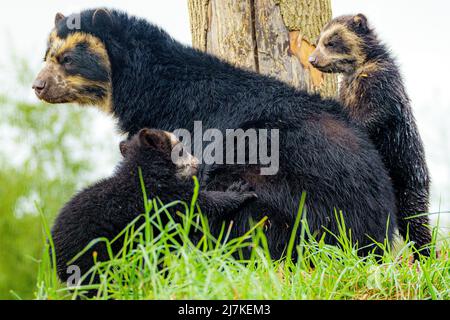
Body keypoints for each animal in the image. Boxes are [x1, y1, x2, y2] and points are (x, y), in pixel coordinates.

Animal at [37, 7, 398, 258]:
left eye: (67, 59)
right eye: (46, 56)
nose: (38, 86)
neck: (151, 89)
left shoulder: (190, 129)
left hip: (291, 191)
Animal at [310, 13, 432, 256]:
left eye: (331, 41)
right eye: (318, 40)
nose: (313, 60)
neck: (357, 69)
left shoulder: (380, 86)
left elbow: (373, 117)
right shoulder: (346, 90)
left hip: (407, 178)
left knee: (415, 219)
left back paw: (424, 254)